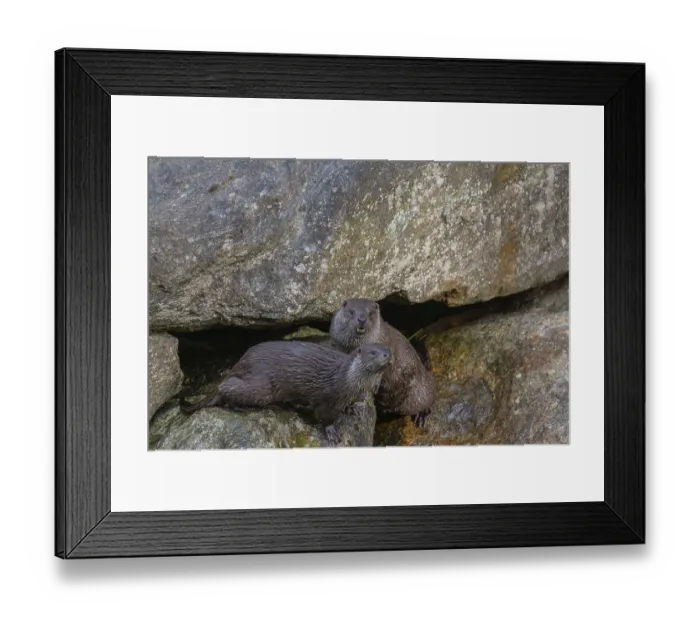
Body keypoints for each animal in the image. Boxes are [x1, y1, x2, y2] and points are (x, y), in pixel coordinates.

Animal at [180, 340, 392, 442]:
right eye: (373, 352)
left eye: (387, 349)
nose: (387, 354)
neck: (351, 381)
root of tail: (243, 360)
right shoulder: (328, 398)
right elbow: (324, 416)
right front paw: (332, 431)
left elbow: (347, 405)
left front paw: (352, 408)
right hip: (262, 387)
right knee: (225, 386)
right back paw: (238, 407)